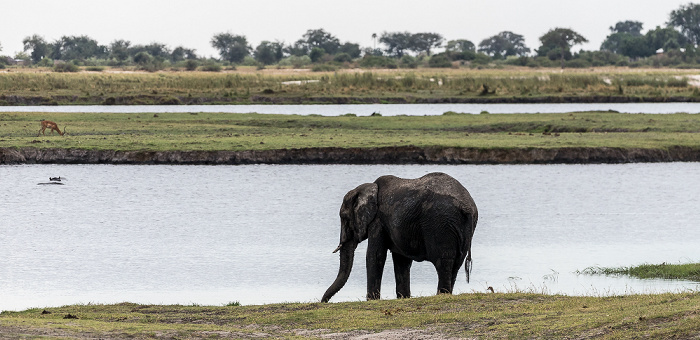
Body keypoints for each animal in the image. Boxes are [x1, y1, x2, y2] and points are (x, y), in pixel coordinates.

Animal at [322, 173, 476, 302]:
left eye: (344, 218)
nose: (324, 302)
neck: (370, 187)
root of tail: (466, 206)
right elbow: (402, 260)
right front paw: (403, 298)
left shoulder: (378, 221)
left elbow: (375, 256)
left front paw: (372, 301)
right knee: (456, 264)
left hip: (440, 223)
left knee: (443, 262)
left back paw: (441, 296)